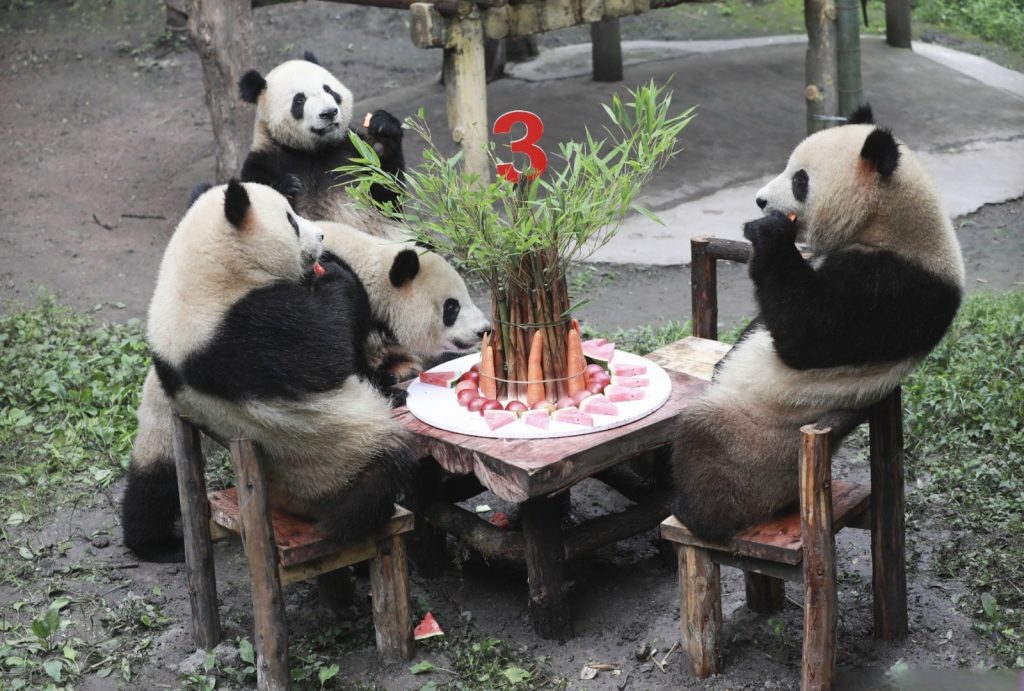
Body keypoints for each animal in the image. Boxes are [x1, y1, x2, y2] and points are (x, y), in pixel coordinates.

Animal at [121, 182, 490, 562]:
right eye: (451, 307)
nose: (484, 330)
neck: (368, 258)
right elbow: (333, 352)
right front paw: (388, 384)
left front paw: (393, 374)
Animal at [238, 52, 405, 234]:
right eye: (299, 100)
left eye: (329, 90)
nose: (329, 113)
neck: (315, 150)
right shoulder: (264, 161)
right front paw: (286, 186)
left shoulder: (353, 152)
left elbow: (388, 199)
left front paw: (383, 130)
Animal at [670, 104, 965, 543]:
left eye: (800, 180)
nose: (760, 200)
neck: (888, 221)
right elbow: (768, 319)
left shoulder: (897, 286)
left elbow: (807, 335)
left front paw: (768, 232)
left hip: (761, 444)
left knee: (706, 447)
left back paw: (697, 514)